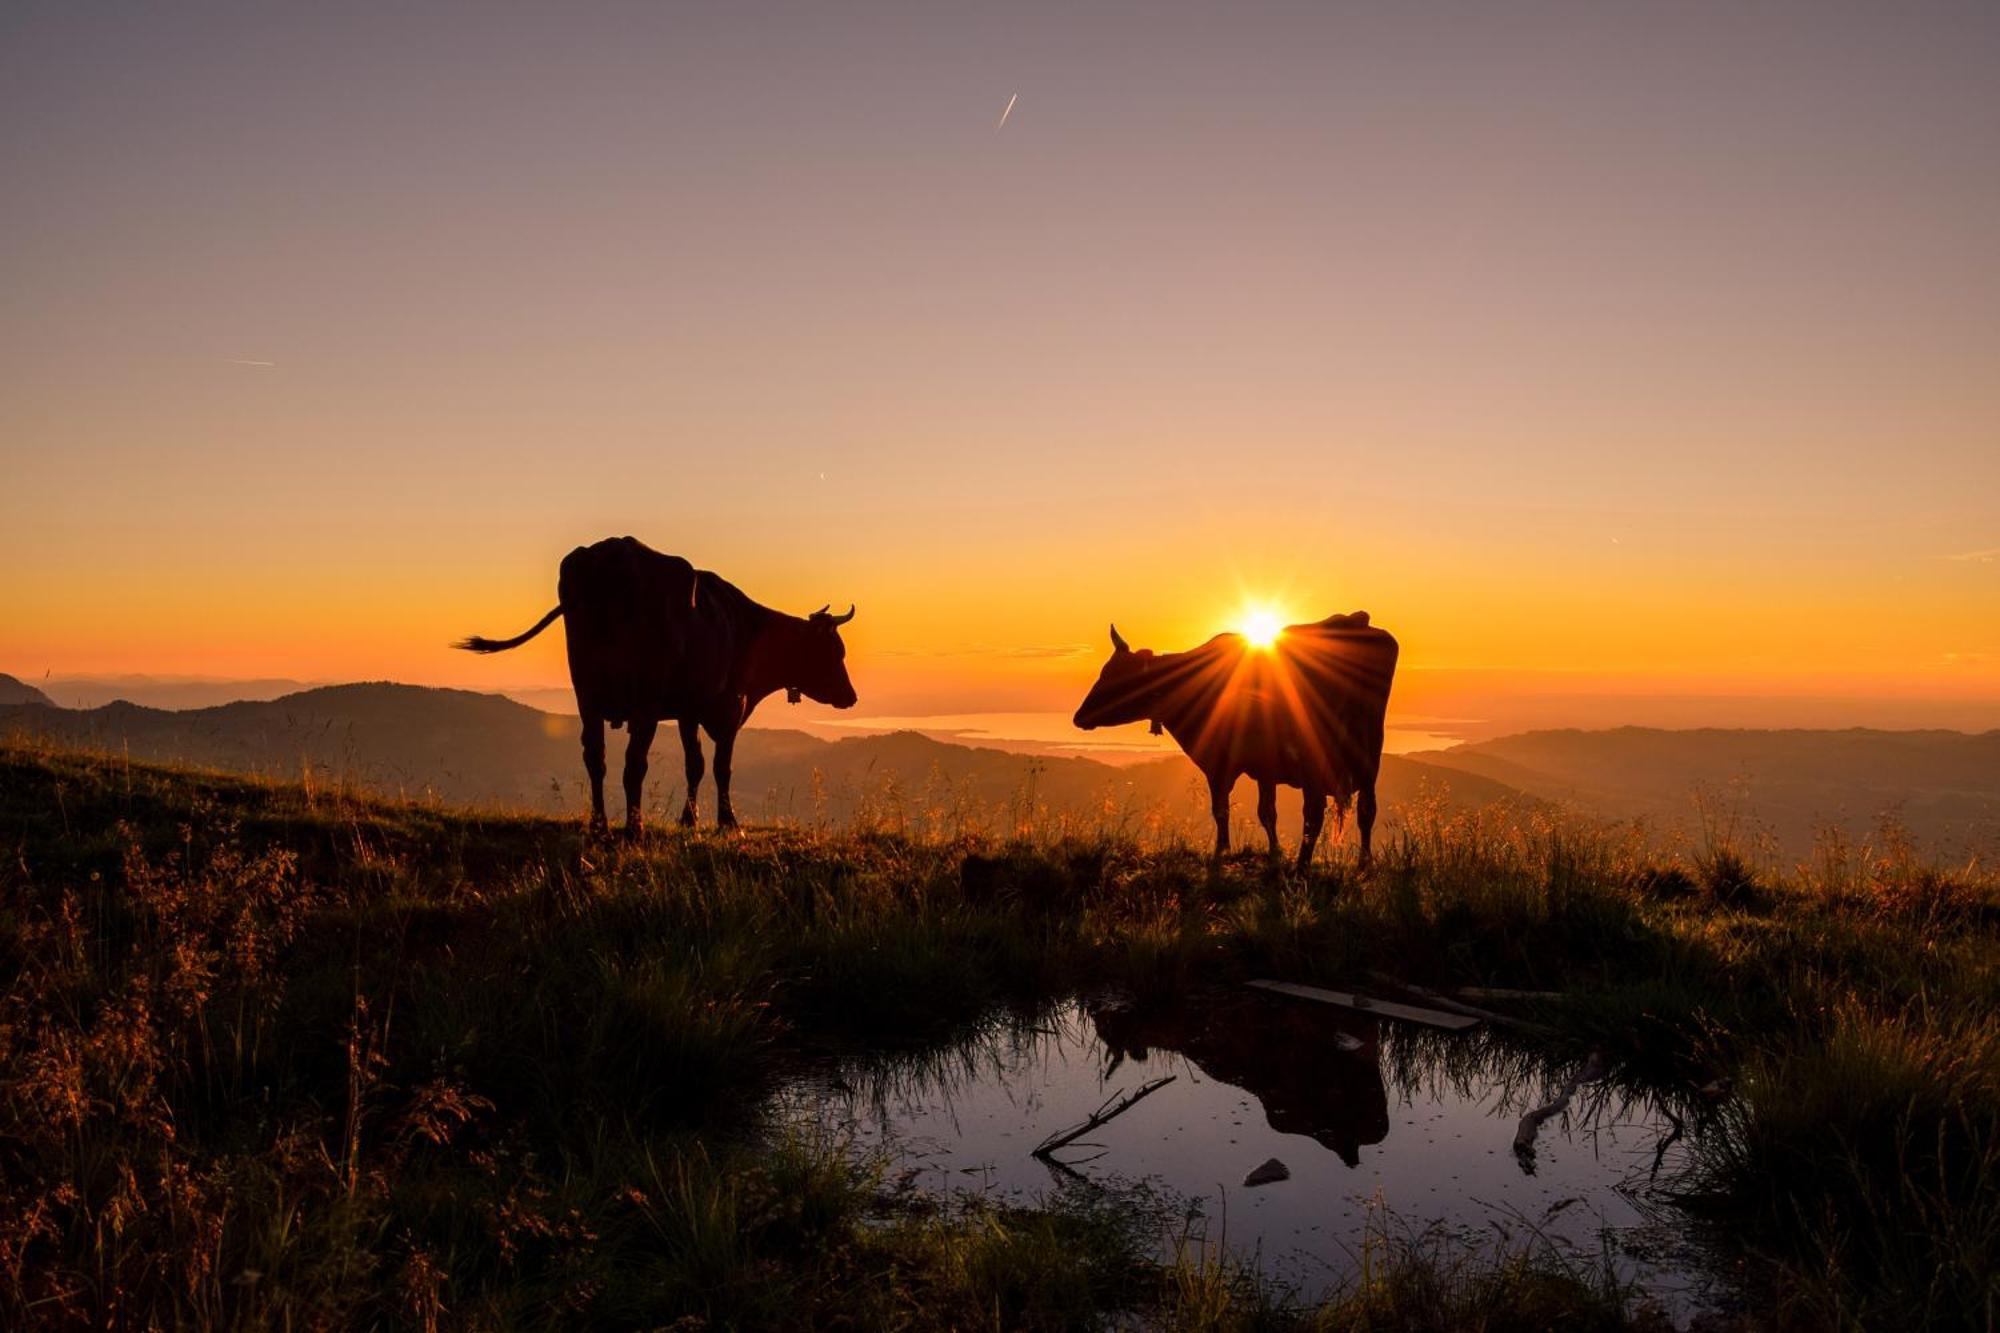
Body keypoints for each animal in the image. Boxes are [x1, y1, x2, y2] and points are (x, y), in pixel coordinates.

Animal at [454, 532, 860, 832]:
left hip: (587, 695)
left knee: (595, 756)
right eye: (834, 652)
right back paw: (634, 829)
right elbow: (721, 766)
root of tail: (613, 550)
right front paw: (728, 822)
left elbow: (694, 763)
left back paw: (600, 824)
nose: (852, 697)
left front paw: (689, 820)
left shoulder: (687, 711)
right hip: (643, 701)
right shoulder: (729, 708)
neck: (746, 628)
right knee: (634, 762)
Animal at [1080, 608, 1392, 868]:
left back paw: (1303, 867)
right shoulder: (1264, 768)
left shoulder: (1220, 764)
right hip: (1368, 758)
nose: (1079, 716)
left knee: (1314, 813)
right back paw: (1363, 863)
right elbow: (1266, 812)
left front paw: (1224, 851)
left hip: (1317, 761)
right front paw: (1274, 853)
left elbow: (1222, 809)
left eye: (1115, 675)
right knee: (1366, 810)